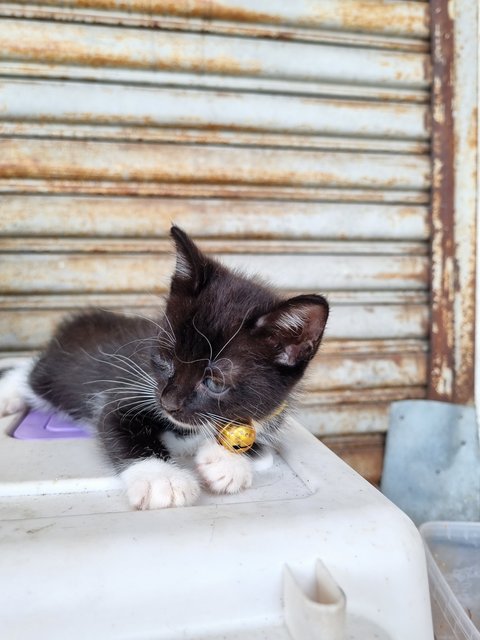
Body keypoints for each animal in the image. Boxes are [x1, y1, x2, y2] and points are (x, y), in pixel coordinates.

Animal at [0, 226, 328, 510]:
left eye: (214, 382)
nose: (168, 403)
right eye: (163, 359)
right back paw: (9, 395)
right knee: (29, 373)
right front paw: (162, 479)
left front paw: (228, 462)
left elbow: (255, 434)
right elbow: (122, 429)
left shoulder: (272, 410)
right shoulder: (124, 393)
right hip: (59, 375)